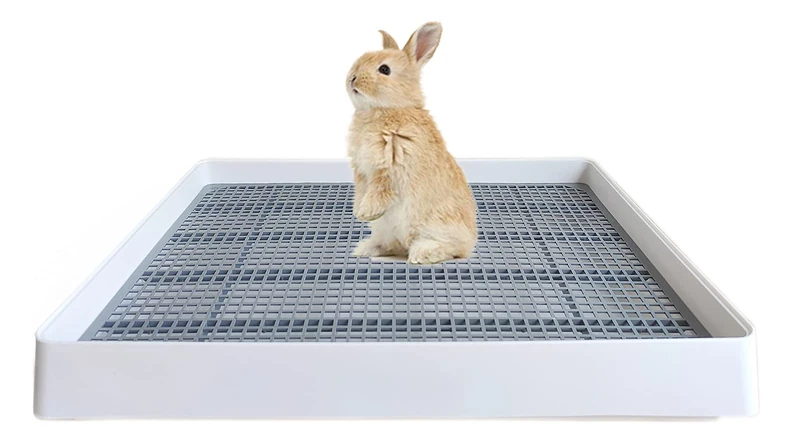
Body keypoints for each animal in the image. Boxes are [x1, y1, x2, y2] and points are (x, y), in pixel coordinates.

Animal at [346, 22, 477, 264]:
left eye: (384, 70)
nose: (352, 78)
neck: (388, 109)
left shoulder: (390, 167)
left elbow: (379, 191)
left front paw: (366, 212)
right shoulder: (361, 170)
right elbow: (361, 191)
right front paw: (359, 212)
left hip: (437, 226)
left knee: (451, 248)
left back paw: (421, 253)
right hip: (386, 231)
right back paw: (365, 248)